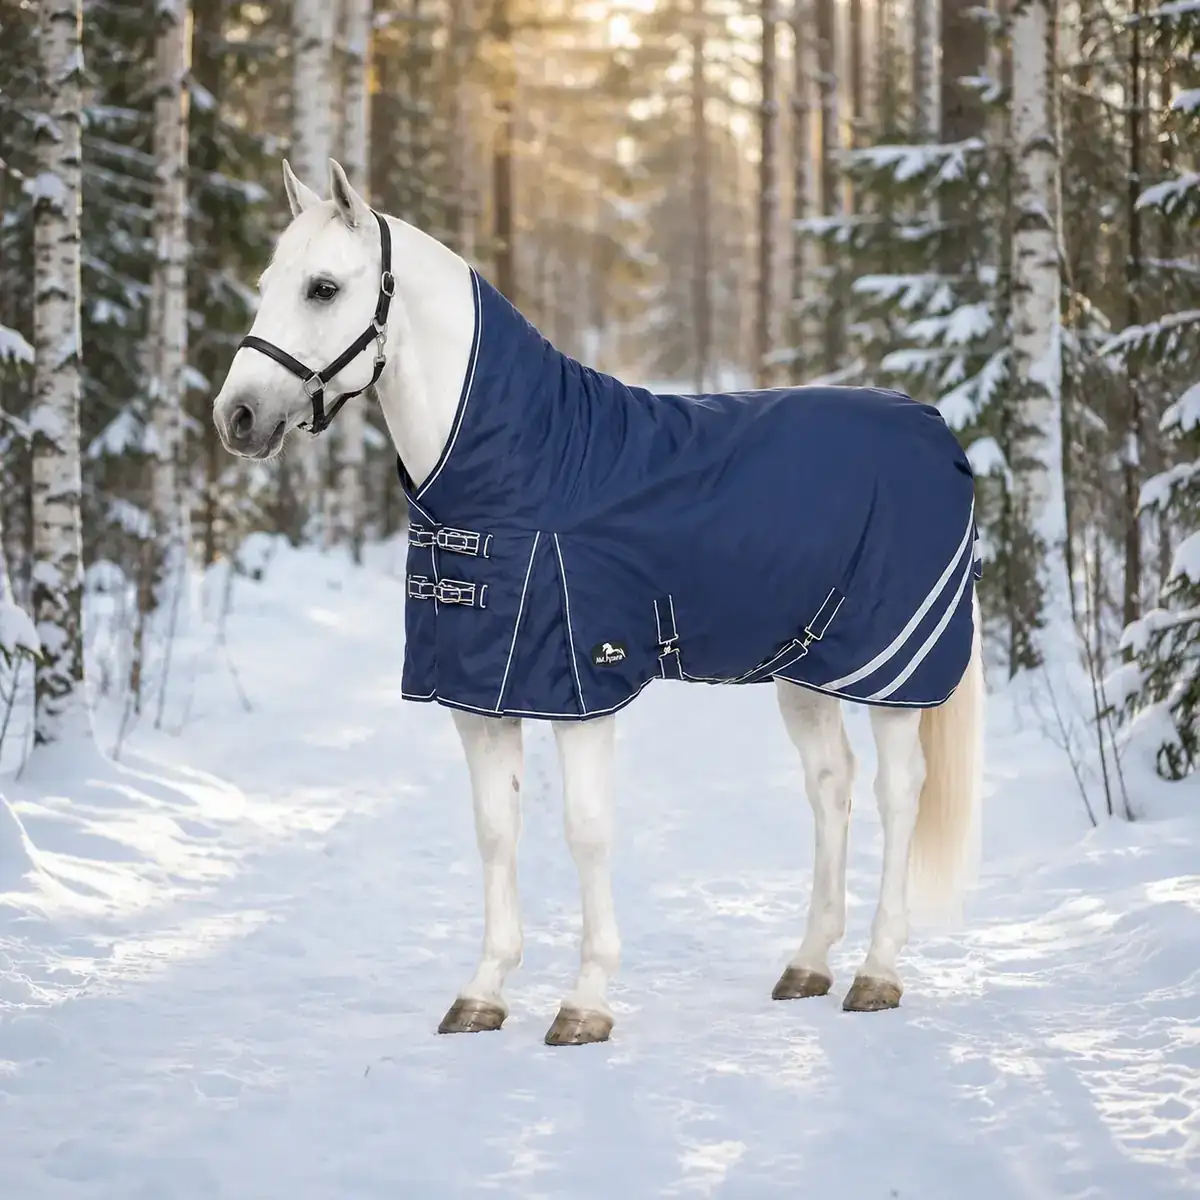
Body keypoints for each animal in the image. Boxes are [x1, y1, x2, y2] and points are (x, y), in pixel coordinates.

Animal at [212, 158, 984, 1047]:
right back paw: (809, 965)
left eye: (324, 288)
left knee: (899, 792)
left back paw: (877, 973)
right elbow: (495, 830)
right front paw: (483, 993)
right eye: (268, 284)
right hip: (804, 670)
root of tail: (934, 428)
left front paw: (585, 1002)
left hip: (890, 674)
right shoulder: (477, 695)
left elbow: (585, 831)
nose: (236, 417)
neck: (530, 467)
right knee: (831, 785)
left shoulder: (579, 688)